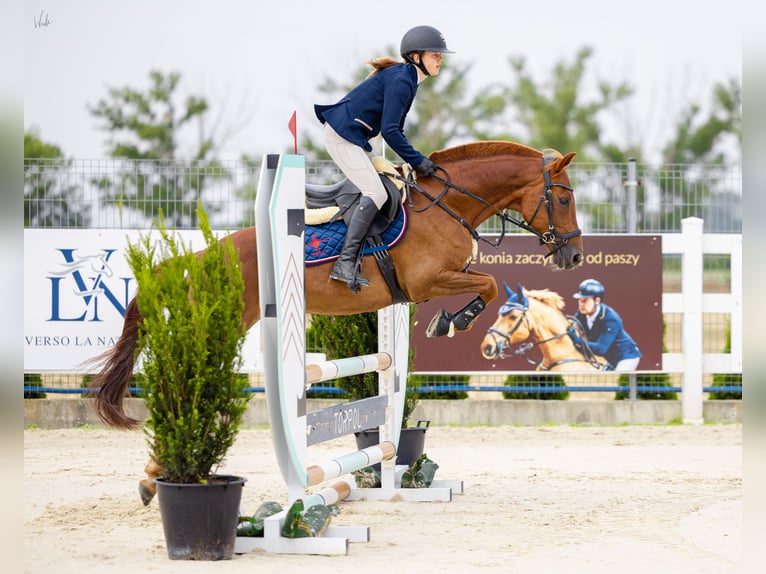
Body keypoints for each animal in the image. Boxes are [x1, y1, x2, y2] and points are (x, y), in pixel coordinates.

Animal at [88, 141, 583, 502]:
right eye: (562, 198)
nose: (575, 256)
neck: (447, 206)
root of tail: (203, 254)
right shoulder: (429, 280)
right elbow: (491, 284)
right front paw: (452, 321)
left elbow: (489, 284)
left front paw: (449, 320)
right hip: (224, 321)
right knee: (186, 378)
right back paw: (157, 475)